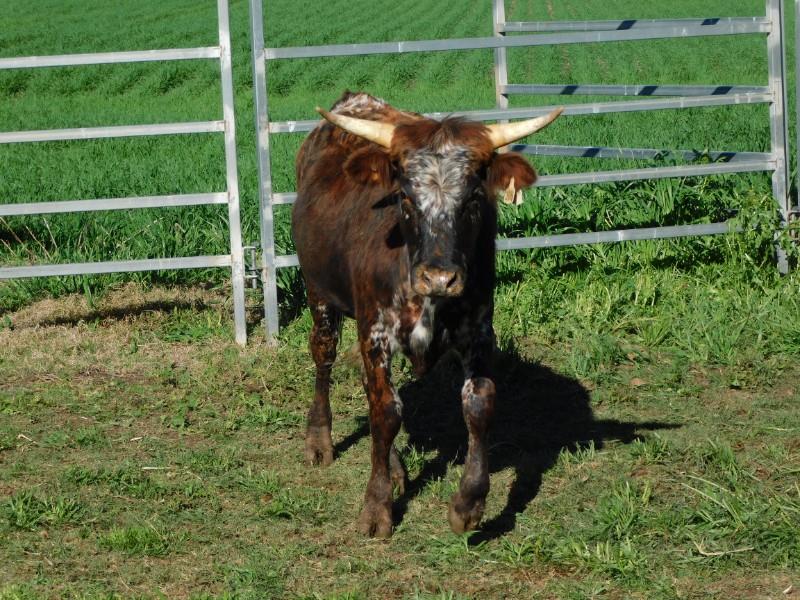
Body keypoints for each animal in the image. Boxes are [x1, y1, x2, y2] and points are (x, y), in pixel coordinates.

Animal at [292, 91, 562, 537]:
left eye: (473, 199)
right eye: (405, 198)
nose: (439, 277)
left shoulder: (478, 331)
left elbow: (478, 404)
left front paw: (468, 504)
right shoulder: (376, 332)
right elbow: (385, 413)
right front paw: (377, 506)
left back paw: (397, 467)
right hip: (319, 295)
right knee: (325, 356)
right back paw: (318, 440)